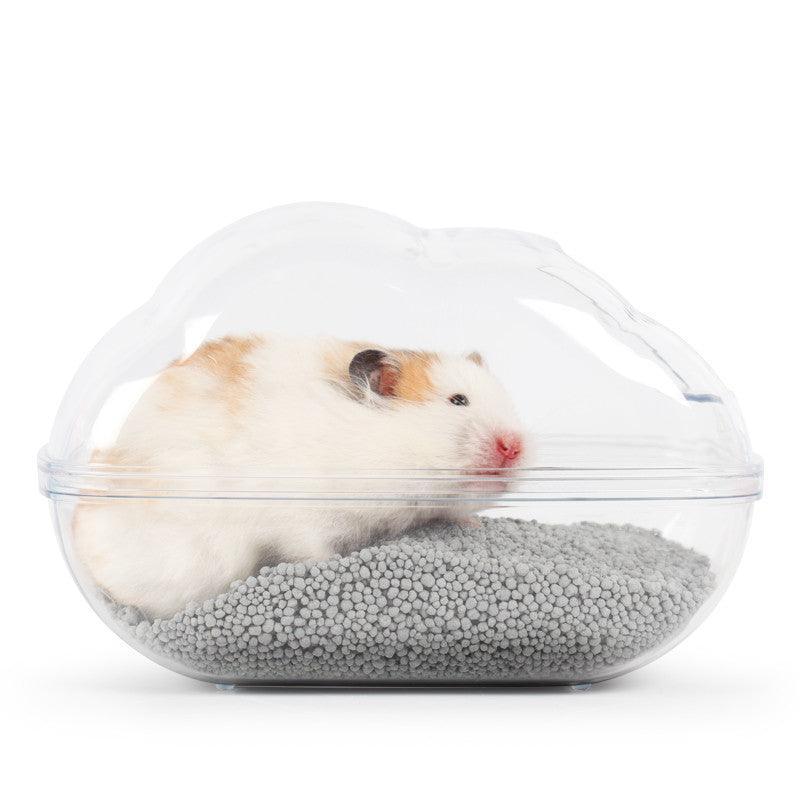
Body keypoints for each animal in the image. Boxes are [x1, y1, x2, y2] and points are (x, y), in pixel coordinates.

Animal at [73, 335, 528, 618]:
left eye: (507, 401)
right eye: (457, 401)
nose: (516, 446)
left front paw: (470, 524)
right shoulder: (302, 517)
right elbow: (312, 549)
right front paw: (333, 568)